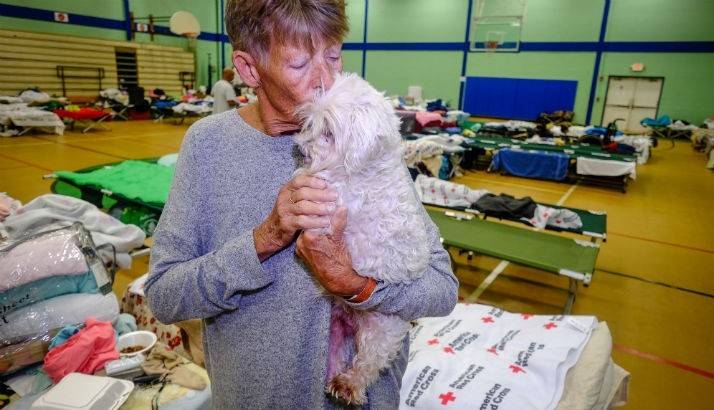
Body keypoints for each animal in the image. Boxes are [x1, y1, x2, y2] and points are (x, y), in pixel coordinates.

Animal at [294, 73, 428, 404]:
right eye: (311, 123)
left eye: (328, 133)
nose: (299, 147)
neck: (369, 168)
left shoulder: (337, 198)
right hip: (334, 328)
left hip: (382, 328)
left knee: (369, 361)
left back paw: (348, 385)